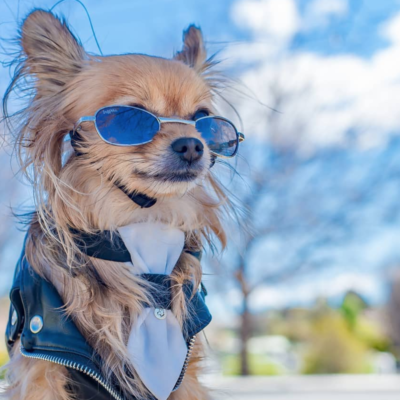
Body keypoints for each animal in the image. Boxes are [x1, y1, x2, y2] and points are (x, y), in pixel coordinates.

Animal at [3, 9, 244, 400]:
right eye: (131, 117)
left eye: (204, 120)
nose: (193, 144)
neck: (141, 228)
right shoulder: (41, 367)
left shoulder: (185, 374)